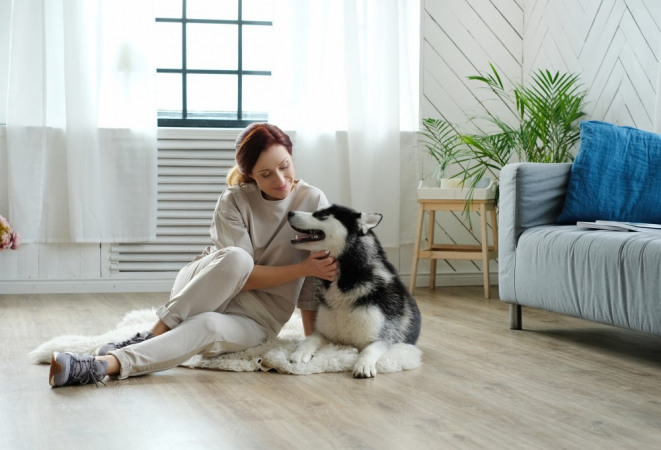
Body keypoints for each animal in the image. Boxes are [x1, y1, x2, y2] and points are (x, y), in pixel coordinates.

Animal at [286, 206, 420, 378]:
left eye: (322, 214)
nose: (289, 212)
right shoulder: (325, 334)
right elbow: (310, 339)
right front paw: (300, 352)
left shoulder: (381, 339)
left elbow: (370, 350)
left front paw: (363, 365)